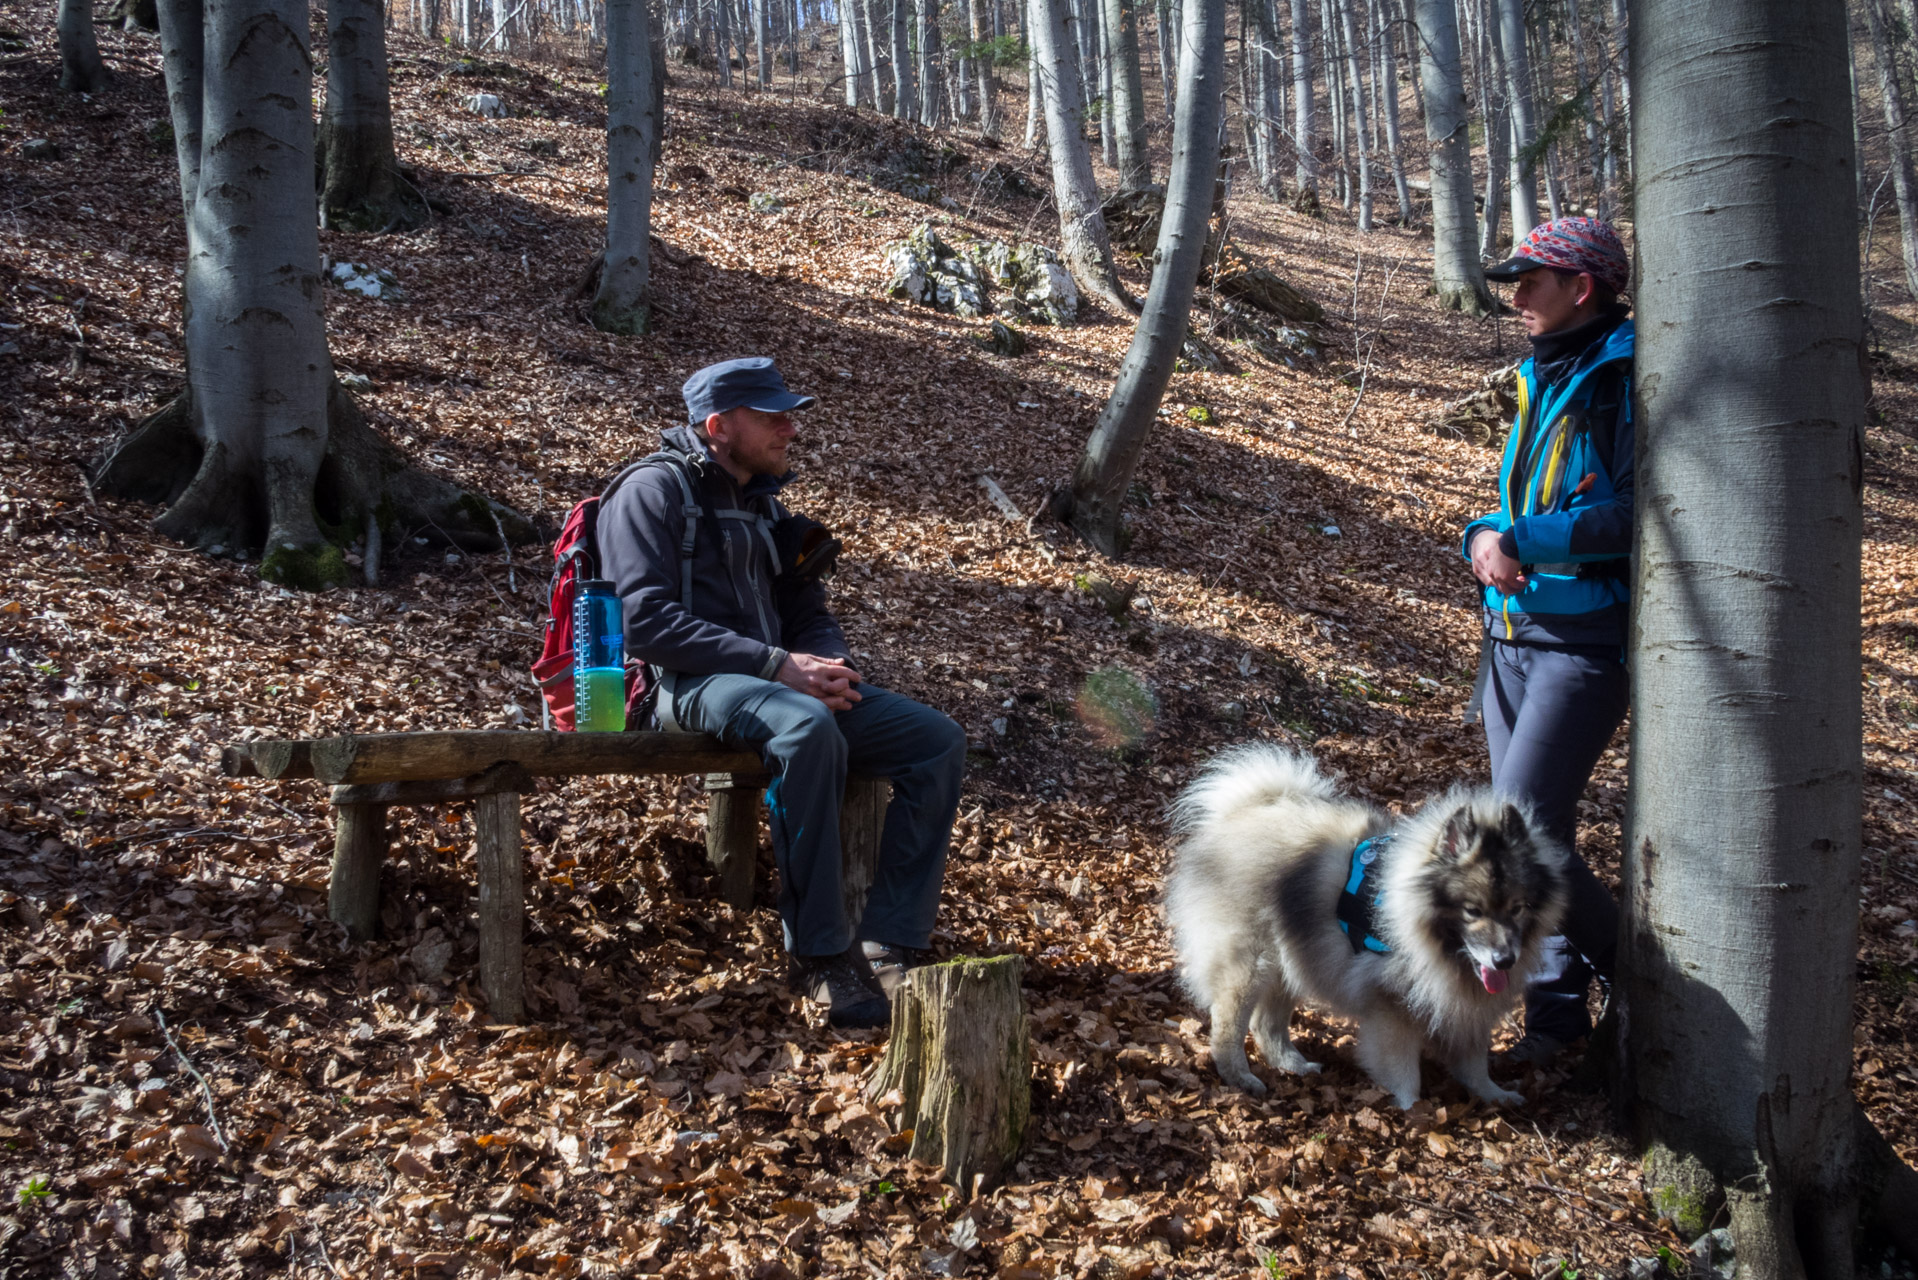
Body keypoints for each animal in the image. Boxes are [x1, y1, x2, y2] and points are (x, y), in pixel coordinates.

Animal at [1158, 744, 1565, 1105]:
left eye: (1517, 908)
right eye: (1472, 911)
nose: (1504, 959)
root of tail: (1241, 812)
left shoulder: (1462, 1006)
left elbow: (1474, 1062)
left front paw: (1494, 1096)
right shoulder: (1392, 1006)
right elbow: (1404, 1072)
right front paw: (1410, 1111)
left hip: (1292, 959)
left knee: (1266, 1025)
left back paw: (1294, 1065)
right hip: (1251, 963)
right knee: (1229, 1024)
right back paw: (1240, 1077)